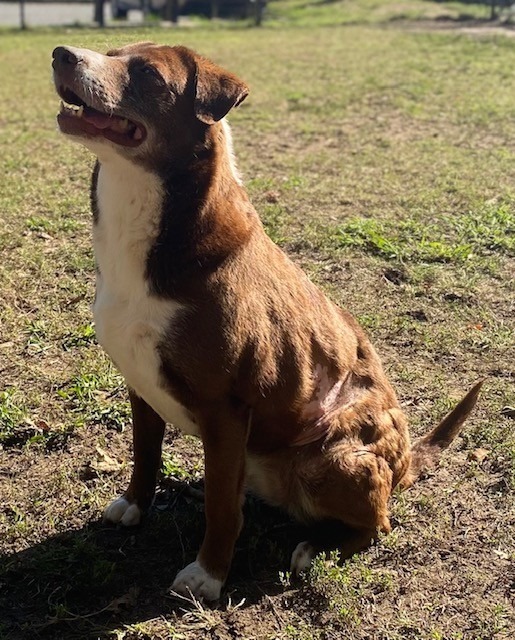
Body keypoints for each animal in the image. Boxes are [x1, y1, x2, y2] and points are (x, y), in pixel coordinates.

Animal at [52, 43, 484, 600]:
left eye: (147, 73)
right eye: (110, 53)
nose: (62, 54)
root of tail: (405, 460)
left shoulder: (225, 407)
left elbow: (220, 507)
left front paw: (209, 575)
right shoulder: (140, 382)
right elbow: (145, 453)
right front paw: (134, 504)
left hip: (331, 457)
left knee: (380, 524)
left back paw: (316, 549)